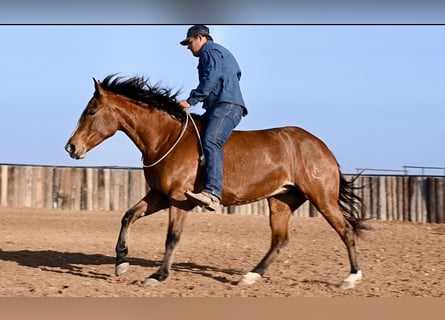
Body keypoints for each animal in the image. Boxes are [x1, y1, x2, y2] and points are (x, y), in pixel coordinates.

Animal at [64, 74, 366, 288]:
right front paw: (121, 263)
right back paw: (251, 276)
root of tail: (321, 147)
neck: (166, 138)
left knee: (345, 231)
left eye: (91, 111)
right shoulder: (159, 196)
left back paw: (351, 278)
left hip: (322, 198)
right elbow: (128, 216)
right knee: (280, 239)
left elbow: (172, 238)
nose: (71, 147)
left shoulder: (179, 200)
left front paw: (158, 275)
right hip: (281, 200)